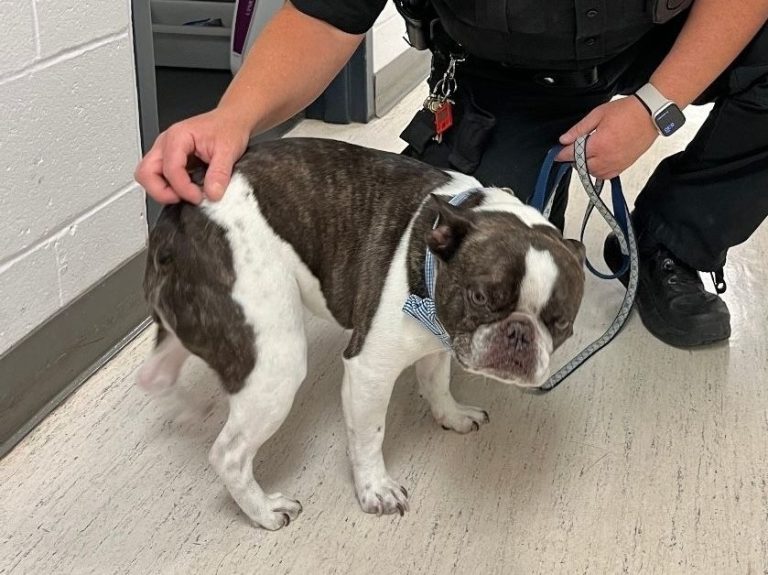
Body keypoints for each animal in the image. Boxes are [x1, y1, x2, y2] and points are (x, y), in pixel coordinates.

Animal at [136, 138, 584, 532]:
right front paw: (376, 490)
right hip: (274, 361)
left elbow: (436, 382)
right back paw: (263, 511)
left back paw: (184, 406)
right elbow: (370, 434)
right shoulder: (370, 371)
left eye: (560, 322)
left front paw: (452, 415)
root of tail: (179, 214)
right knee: (228, 454)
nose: (519, 333)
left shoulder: (440, 339)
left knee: (157, 372)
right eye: (479, 296)